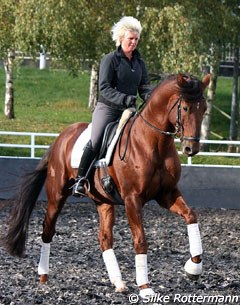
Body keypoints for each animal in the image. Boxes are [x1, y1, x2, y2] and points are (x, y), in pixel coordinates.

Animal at [3, 73, 210, 296]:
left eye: (204, 109)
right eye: (186, 108)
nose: (191, 148)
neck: (153, 144)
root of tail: (61, 138)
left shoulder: (167, 194)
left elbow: (191, 216)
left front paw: (193, 269)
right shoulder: (132, 199)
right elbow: (140, 240)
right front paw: (145, 288)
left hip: (103, 200)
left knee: (104, 238)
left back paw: (118, 282)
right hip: (56, 195)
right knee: (47, 230)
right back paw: (43, 275)